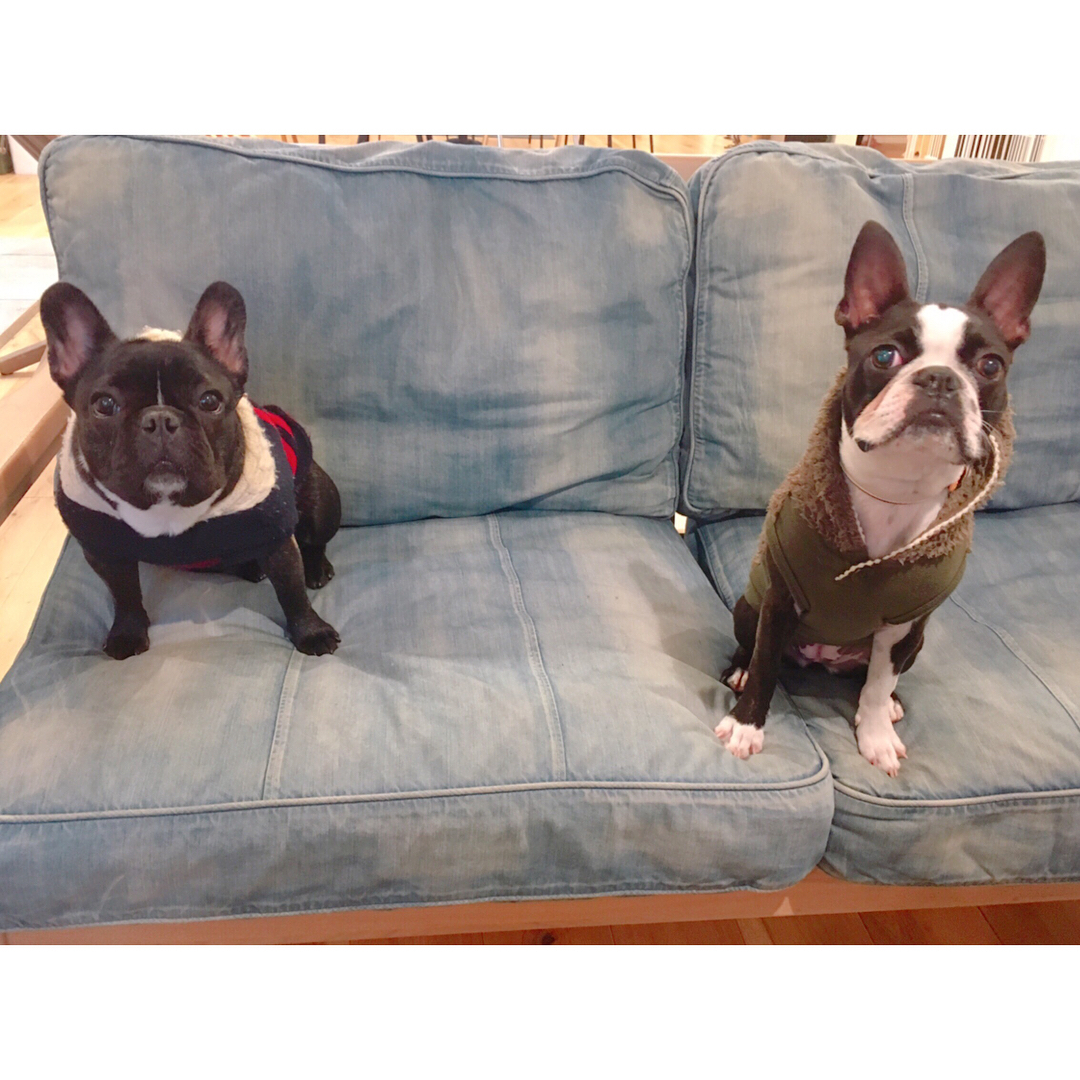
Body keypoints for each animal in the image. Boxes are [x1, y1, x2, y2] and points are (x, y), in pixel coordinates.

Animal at [40, 280, 342, 659]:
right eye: (104, 405)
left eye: (209, 401)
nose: (160, 419)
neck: (168, 509)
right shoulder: (102, 549)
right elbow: (124, 594)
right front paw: (127, 633)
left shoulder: (277, 538)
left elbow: (293, 591)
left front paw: (312, 632)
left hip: (321, 502)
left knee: (315, 541)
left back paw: (316, 568)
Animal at [715, 220, 1046, 775]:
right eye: (885, 355)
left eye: (991, 366)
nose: (939, 379)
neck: (895, 489)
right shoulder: (780, 600)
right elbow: (765, 665)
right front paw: (746, 726)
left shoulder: (904, 624)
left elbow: (876, 684)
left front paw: (874, 736)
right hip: (748, 605)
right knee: (753, 648)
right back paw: (737, 673)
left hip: (917, 641)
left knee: (875, 678)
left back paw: (889, 707)